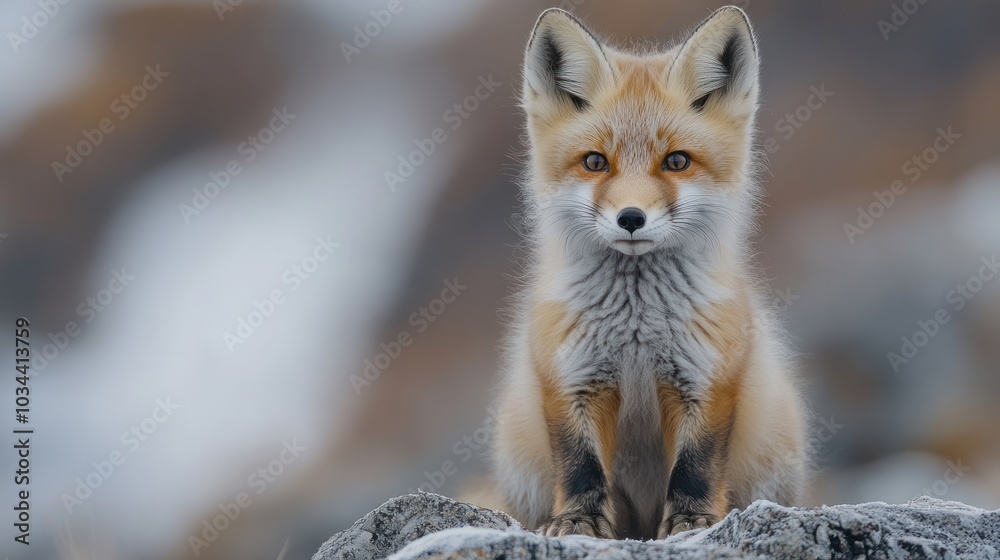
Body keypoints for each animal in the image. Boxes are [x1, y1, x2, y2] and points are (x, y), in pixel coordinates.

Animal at [491, 6, 809, 540]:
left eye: (676, 161)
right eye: (595, 162)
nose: (631, 218)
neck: (636, 330)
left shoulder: (706, 377)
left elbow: (695, 464)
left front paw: (692, 522)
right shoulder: (571, 376)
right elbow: (579, 464)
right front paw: (577, 521)